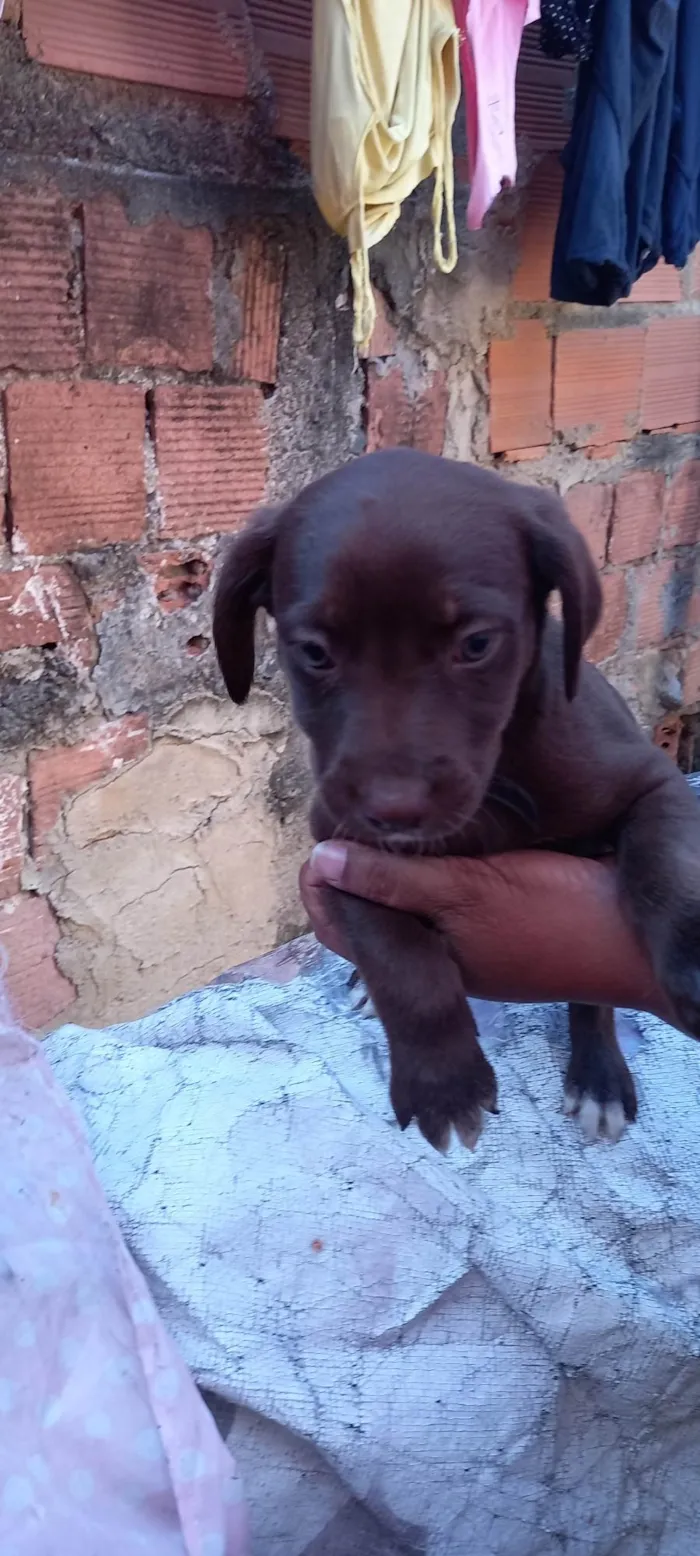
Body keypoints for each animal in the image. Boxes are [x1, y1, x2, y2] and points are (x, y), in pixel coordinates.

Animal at [213, 451, 700, 1157]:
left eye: (475, 645)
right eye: (314, 653)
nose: (394, 810)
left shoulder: (654, 780)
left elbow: (668, 862)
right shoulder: (339, 844)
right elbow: (398, 954)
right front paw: (444, 1082)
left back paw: (599, 1076)